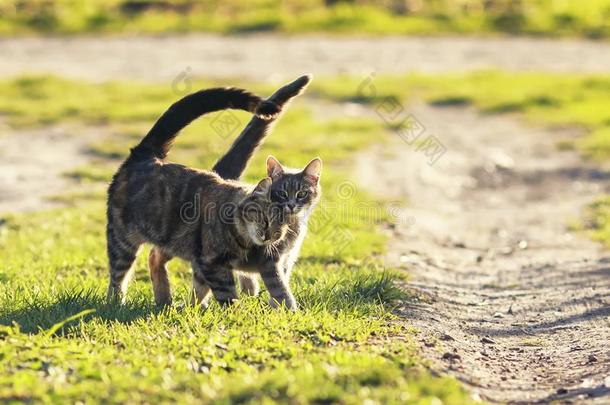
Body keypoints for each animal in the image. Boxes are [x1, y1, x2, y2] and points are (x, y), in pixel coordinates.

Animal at [106, 84, 304, 306]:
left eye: (283, 227)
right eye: (265, 218)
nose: (271, 236)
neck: (246, 242)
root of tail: (147, 155)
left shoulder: (214, 264)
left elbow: (204, 289)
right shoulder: (211, 263)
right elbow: (227, 294)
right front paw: (233, 311)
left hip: (172, 240)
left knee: (154, 256)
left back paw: (164, 300)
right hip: (122, 240)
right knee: (118, 275)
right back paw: (117, 302)